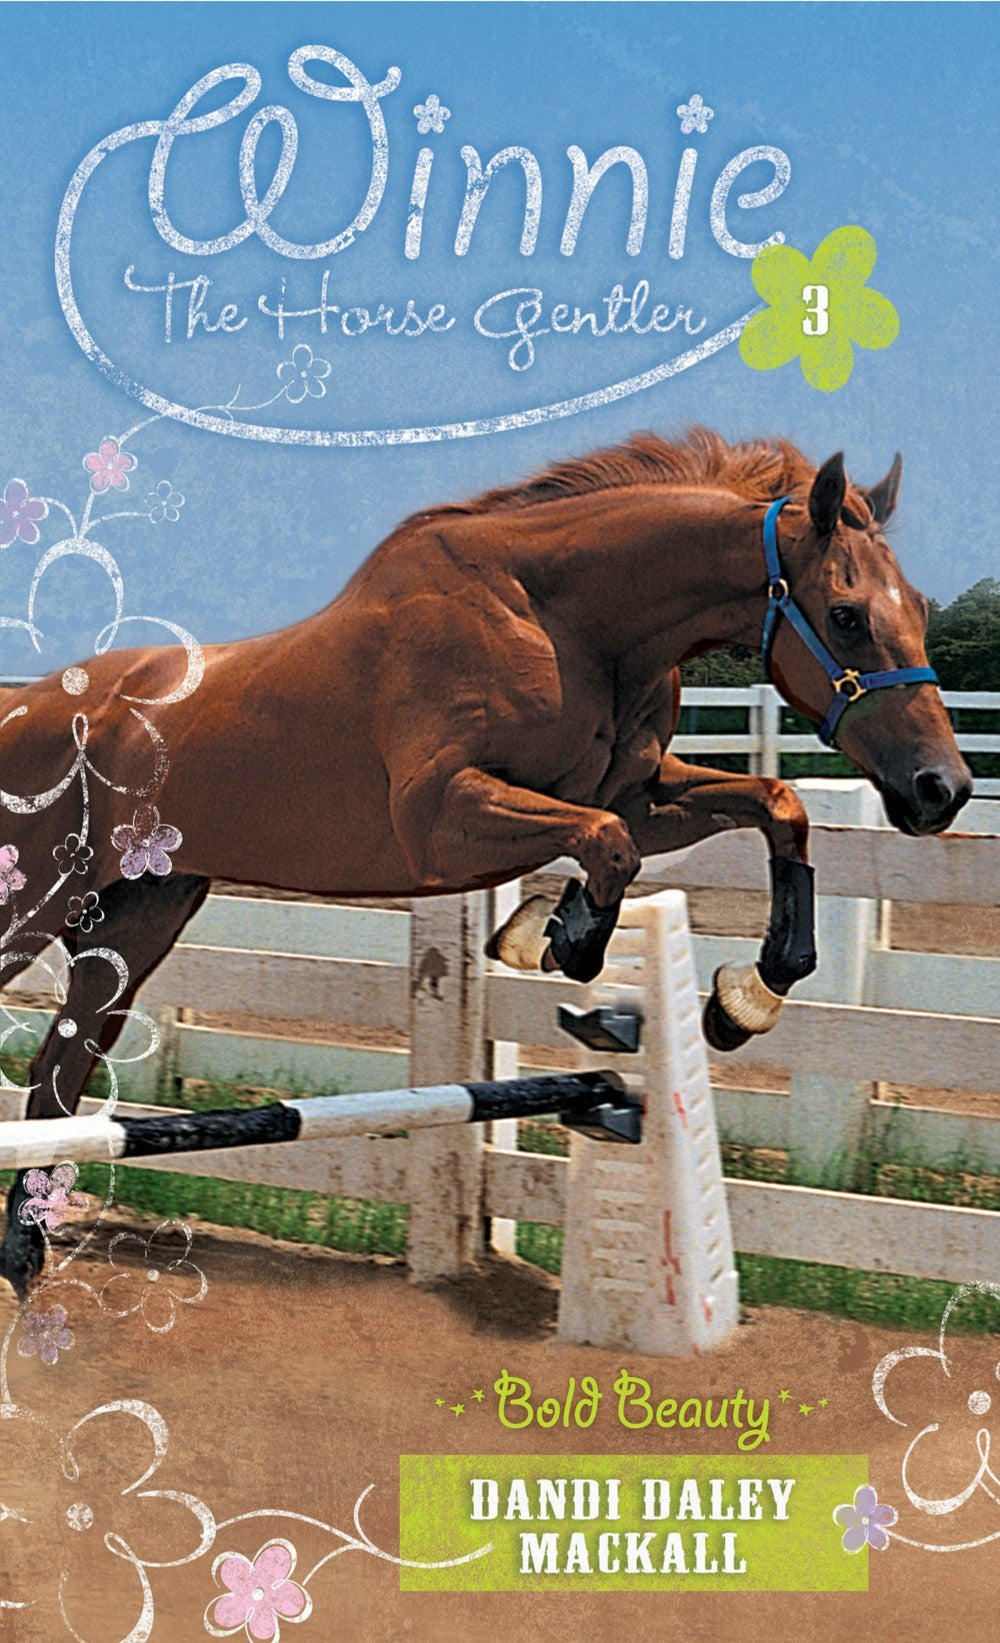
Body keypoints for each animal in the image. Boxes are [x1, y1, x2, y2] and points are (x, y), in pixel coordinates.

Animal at [0, 428, 972, 1295]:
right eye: (847, 615)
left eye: (919, 608)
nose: (943, 790)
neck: (565, 619)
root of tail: (26, 707)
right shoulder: (443, 817)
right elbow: (604, 848)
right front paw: (557, 936)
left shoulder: (641, 795)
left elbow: (775, 809)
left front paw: (745, 999)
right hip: (33, 906)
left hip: (140, 918)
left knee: (55, 1085)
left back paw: (25, 1256)